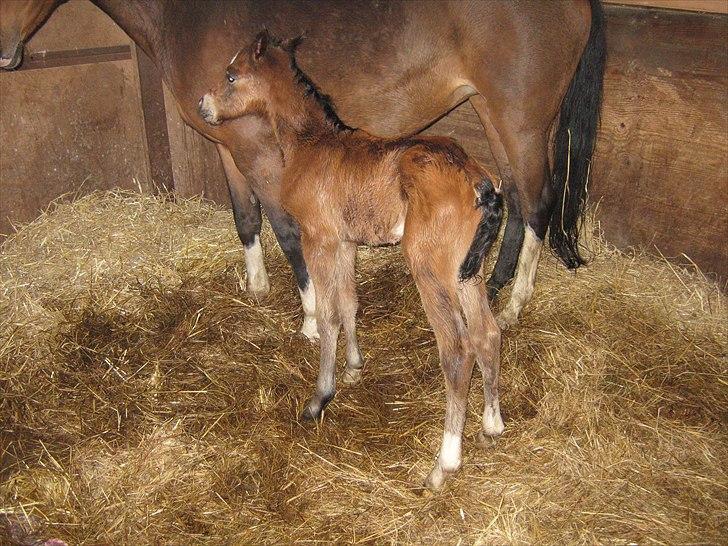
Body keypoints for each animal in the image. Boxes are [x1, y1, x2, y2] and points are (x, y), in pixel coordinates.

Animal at [199, 30, 506, 488]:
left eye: (231, 75)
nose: (204, 105)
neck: (310, 144)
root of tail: (479, 181)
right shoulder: (344, 243)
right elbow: (349, 302)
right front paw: (355, 367)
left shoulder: (318, 239)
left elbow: (326, 313)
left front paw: (318, 398)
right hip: (466, 271)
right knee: (488, 333)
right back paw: (491, 426)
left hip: (430, 269)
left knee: (457, 350)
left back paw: (444, 463)